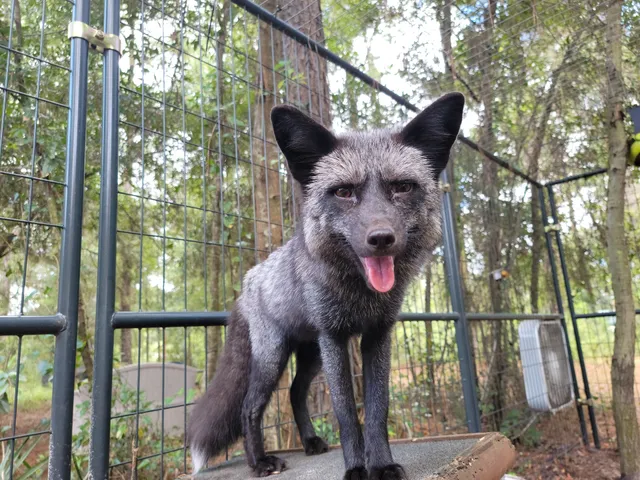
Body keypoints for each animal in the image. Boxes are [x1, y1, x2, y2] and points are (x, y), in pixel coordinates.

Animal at [187, 92, 465, 480]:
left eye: (402, 187)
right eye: (344, 192)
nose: (381, 238)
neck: (360, 295)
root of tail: (248, 281)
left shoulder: (377, 335)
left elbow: (377, 409)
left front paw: (381, 465)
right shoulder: (334, 337)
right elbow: (346, 413)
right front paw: (356, 469)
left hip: (310, 354)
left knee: (294, 394)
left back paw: (309, 442)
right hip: (274, 355)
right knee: (249, 406)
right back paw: (260, 462)